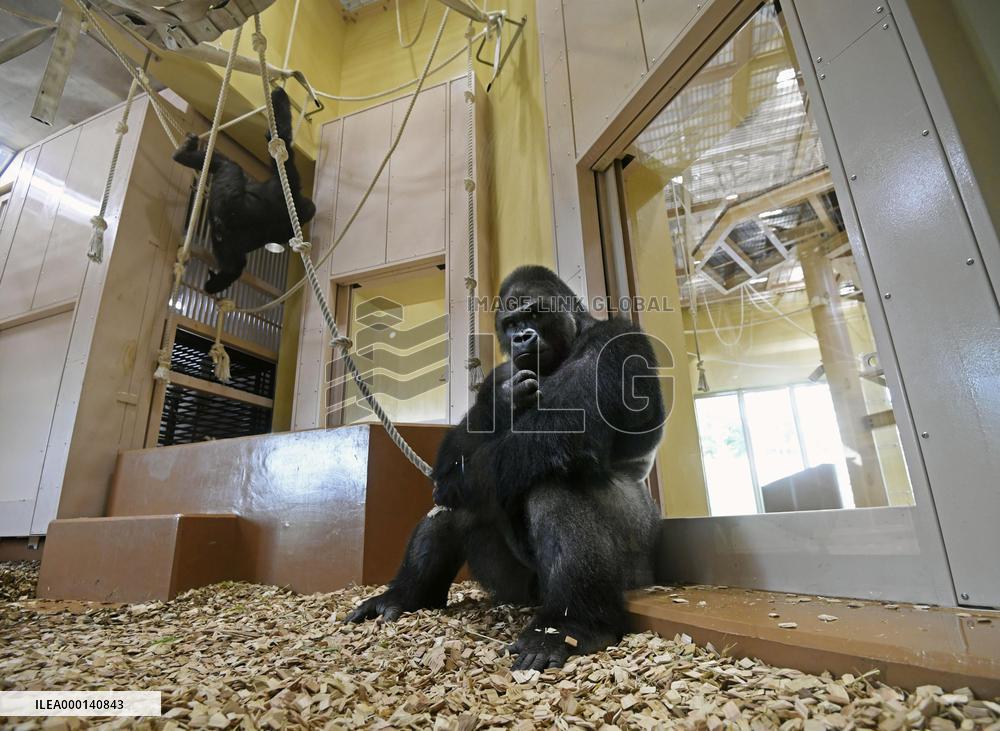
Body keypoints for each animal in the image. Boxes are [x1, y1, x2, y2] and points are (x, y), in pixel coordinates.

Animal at [172, 87, 316, 295]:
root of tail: (222, 224)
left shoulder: (289, 180)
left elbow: (280, 138)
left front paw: (279, 93)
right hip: (224, 243)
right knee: (234, 267)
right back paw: (215, 284)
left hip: (225, 203)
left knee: (229, 166)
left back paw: (183, 154)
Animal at [348, 265, 666, 671]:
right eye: (511, 322)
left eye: (534, 313)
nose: (522, 336)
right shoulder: (498, 374)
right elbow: (460, 448)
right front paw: (502, 402)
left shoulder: (615, 340)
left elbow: (560, 432)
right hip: (512, 588)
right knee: (464, 498)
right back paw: (406, 595)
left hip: (638, 565)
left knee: (549, 482)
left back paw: (569, 625)